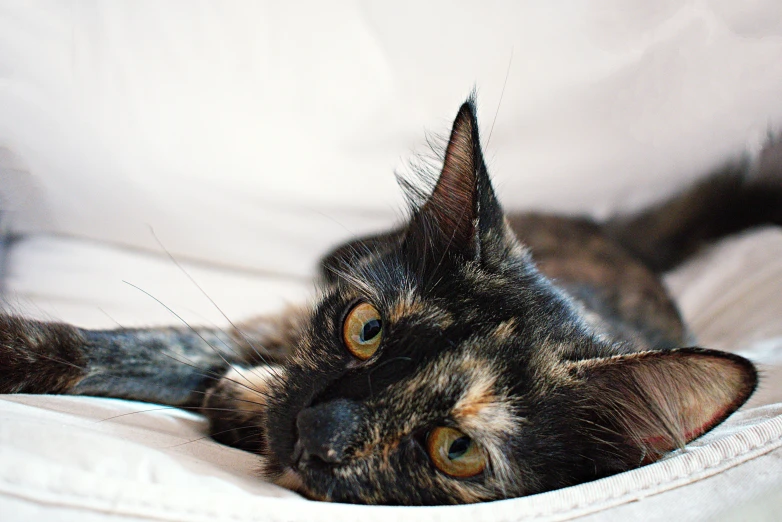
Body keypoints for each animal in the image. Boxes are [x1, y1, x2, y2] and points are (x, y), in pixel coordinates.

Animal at [0, 97, 780, 504]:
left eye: (456, 448)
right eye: (365, 329)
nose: (317, 428)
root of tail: (623, 242)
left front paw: (238, 402)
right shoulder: (274, 330)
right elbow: (121, 348)